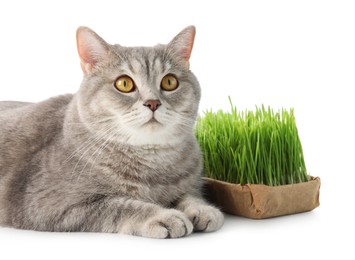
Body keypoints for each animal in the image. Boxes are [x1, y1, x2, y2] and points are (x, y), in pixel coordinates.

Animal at [0, 25, 222, 238]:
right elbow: (120, 206)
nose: (152, 102)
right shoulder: (50, 205)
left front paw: (202, 209)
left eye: (169, 82)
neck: (152, 162)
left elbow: (190, 195)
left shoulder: (190, 183)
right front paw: (163, 216)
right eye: (124, 83)